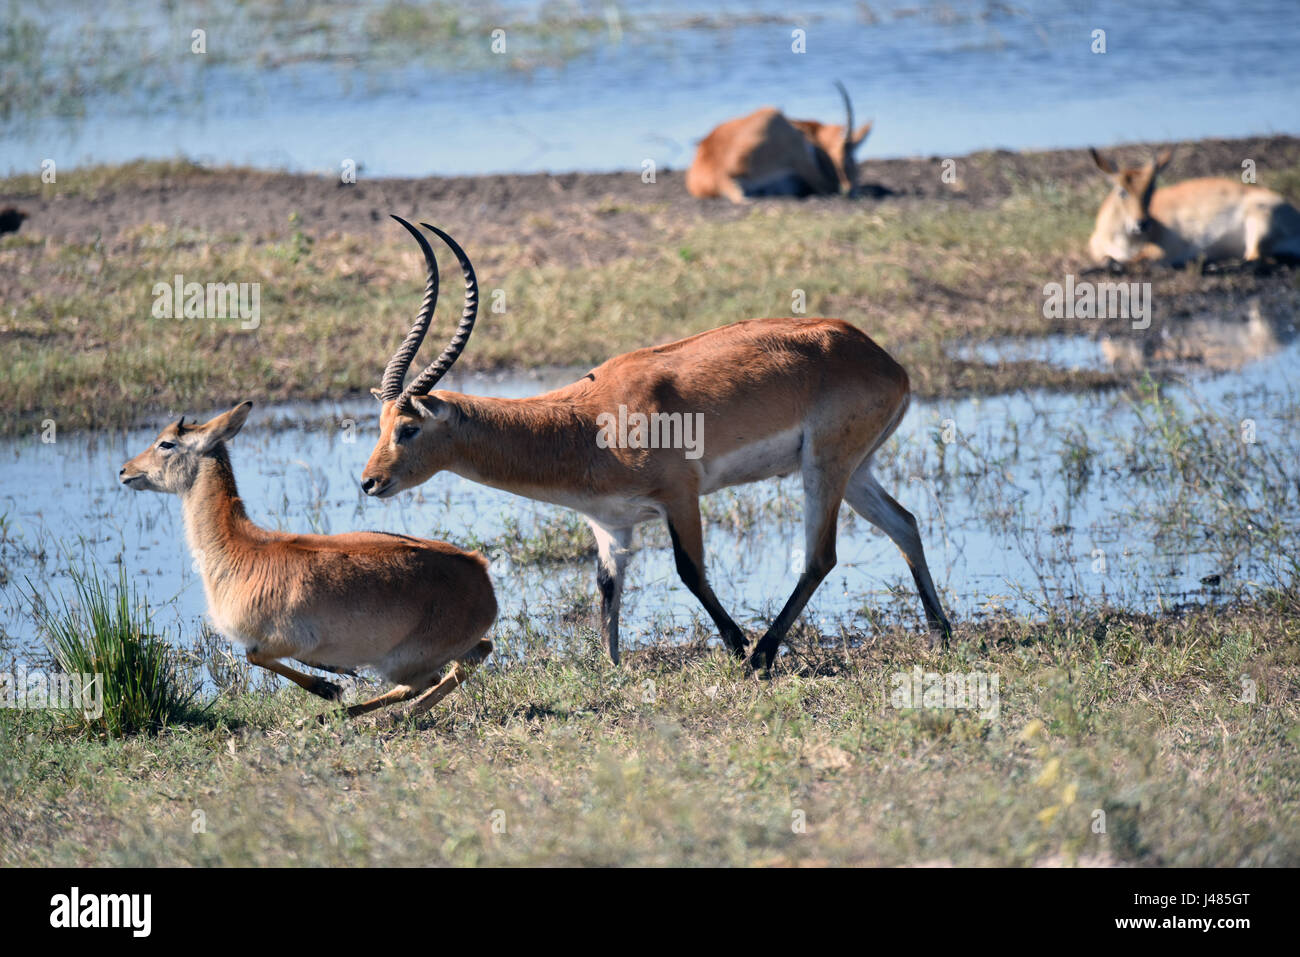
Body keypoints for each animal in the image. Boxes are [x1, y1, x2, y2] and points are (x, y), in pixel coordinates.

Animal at [361, 214, 951, 670]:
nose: (369, 482)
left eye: (408, 427)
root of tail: (883, 359)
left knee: (820, 555)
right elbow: (606, 591)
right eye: (380, 423)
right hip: (855, 471)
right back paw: (941, 634)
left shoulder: (680, 496)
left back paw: (763, 654)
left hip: (823, 467)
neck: (585, 423)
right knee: (904, 523)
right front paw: (612, 669)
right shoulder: (611, 525)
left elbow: (690, 572)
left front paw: (737, 649)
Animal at [1086, 145, 1300, 267]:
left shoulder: (1164, 250)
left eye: (1151, 190)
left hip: (1258, 222)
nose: (1142, 223)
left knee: (1253, 258)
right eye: (1122, 191)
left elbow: (1136, 258)